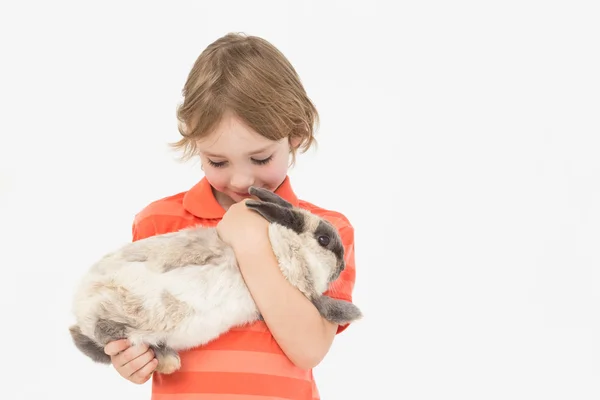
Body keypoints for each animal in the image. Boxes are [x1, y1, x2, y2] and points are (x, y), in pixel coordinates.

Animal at [69, 188, 360, 376]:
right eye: (324, 239)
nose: (343, 266)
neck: (281, 247)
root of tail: (81, 307)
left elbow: (316, 301)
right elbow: (319, 302)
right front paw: (352, 312)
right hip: (130, 310)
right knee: (104, 332)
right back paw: (168, 361)